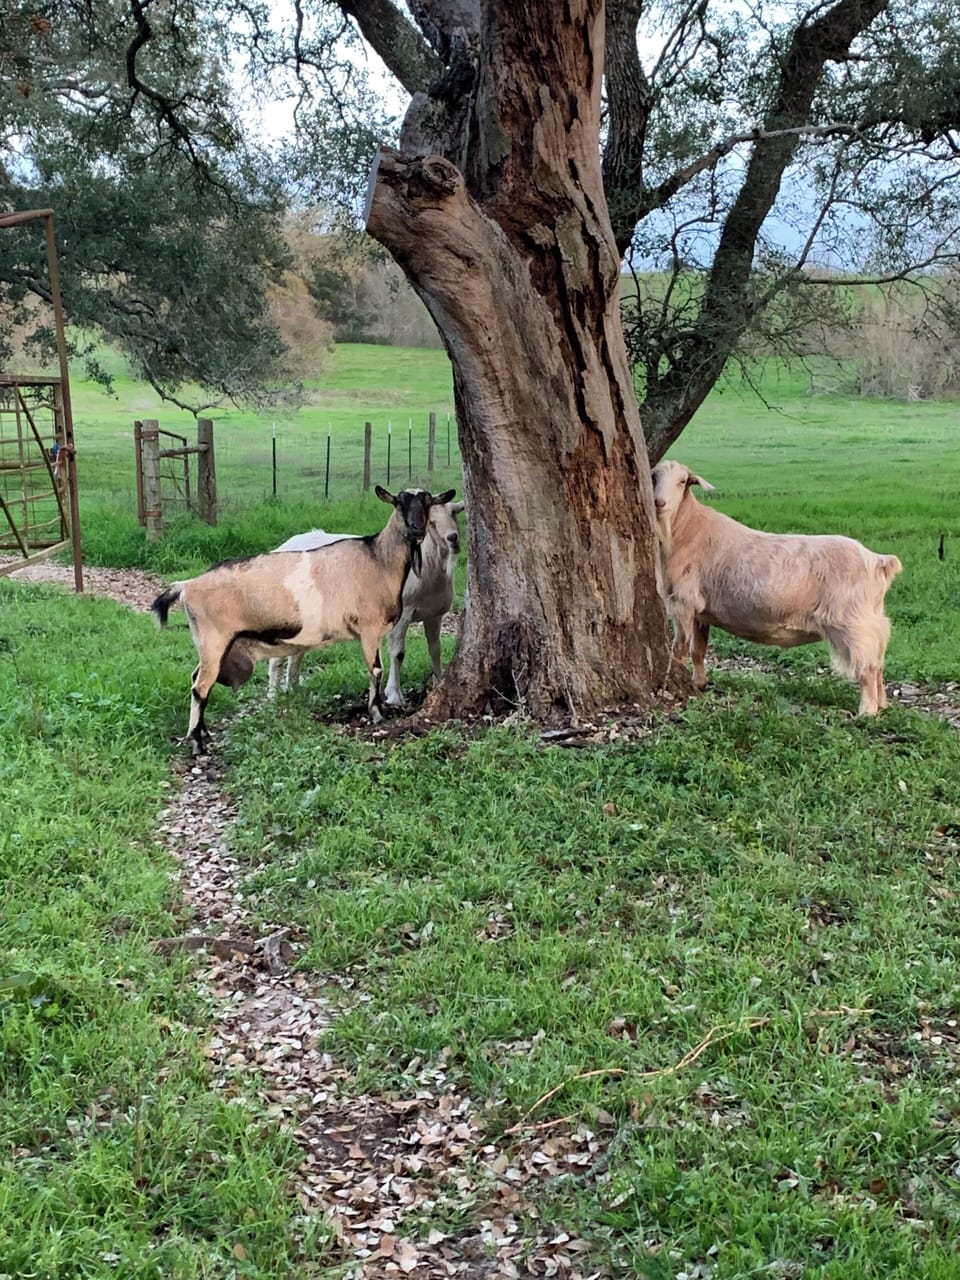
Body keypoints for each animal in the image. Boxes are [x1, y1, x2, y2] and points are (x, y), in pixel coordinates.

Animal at [268, 497, 464, 706]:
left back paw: (295, 690)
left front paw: (439, 682)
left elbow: (435, 649)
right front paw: (394, 695)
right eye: (431, 523)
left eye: (454, 513)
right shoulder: (403, 614)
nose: (453, 538)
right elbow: (398, 653)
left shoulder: (434, 614)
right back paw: (273, 696)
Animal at [651, 460, 902, 715]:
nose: (659, 503)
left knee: (868, 667)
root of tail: (878, 561)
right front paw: (699, 683)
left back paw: (867, 711)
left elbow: (679, 649)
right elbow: (698, 650)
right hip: (874, 621)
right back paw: (882, 703)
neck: (686, 529)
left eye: (683, 481)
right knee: (879, 663)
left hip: (853, 623)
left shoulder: (683, 603)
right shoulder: (702, 612)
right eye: (654, 477)